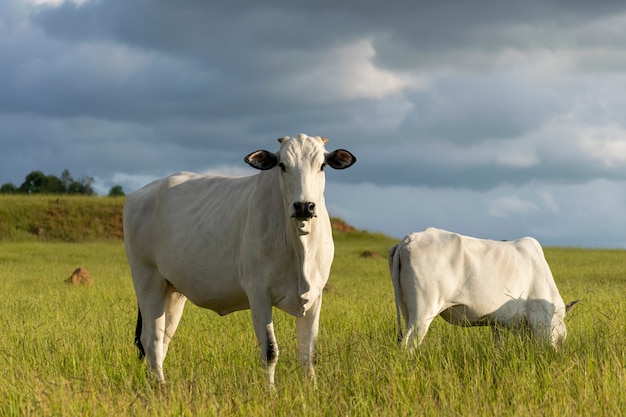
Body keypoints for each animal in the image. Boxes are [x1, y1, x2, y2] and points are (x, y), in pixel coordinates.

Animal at [122, 133, 356, 384]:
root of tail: (141, 193)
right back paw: (159, 386)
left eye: (322, 165)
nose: (304, 206)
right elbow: (270, 351)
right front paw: (270, 390)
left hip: (173, 290)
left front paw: (311, 388)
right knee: (151, 339)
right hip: (147, 280)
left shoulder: (315, 296)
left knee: (162, 339)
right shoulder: (259, 294)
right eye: (282, 165)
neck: (299, 247)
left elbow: (308, 354)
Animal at [388, 228, 576, 352]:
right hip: (423, 313)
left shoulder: (497, 323)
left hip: (408, 312)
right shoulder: (540, 320)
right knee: (409, 345)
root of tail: (409, 239)